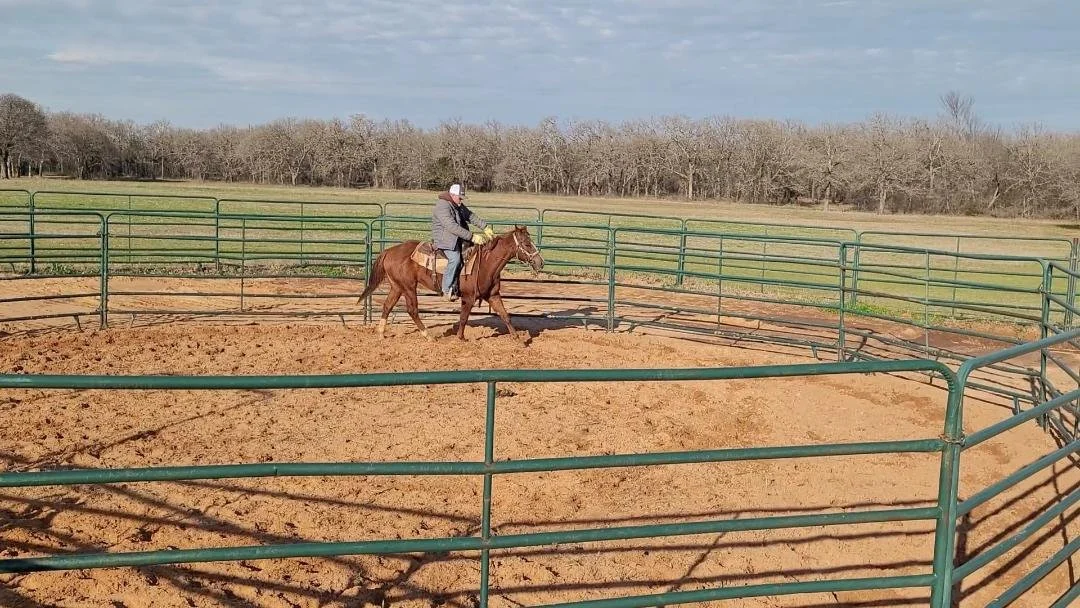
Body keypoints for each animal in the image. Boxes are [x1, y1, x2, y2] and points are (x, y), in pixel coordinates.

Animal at [356, 225, 544, 341]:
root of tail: (389, 251)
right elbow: (463, 318)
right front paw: (460, 338)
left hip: (397, 286)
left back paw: (381, 334)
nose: (540, 262)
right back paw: (429, 336)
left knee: (387, 306)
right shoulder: (468, 297)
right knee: (412, 310)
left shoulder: (493, 295)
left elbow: (505, 315)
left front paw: (517, 339)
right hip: (408, 287)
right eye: (527, 243)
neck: (486, 262)